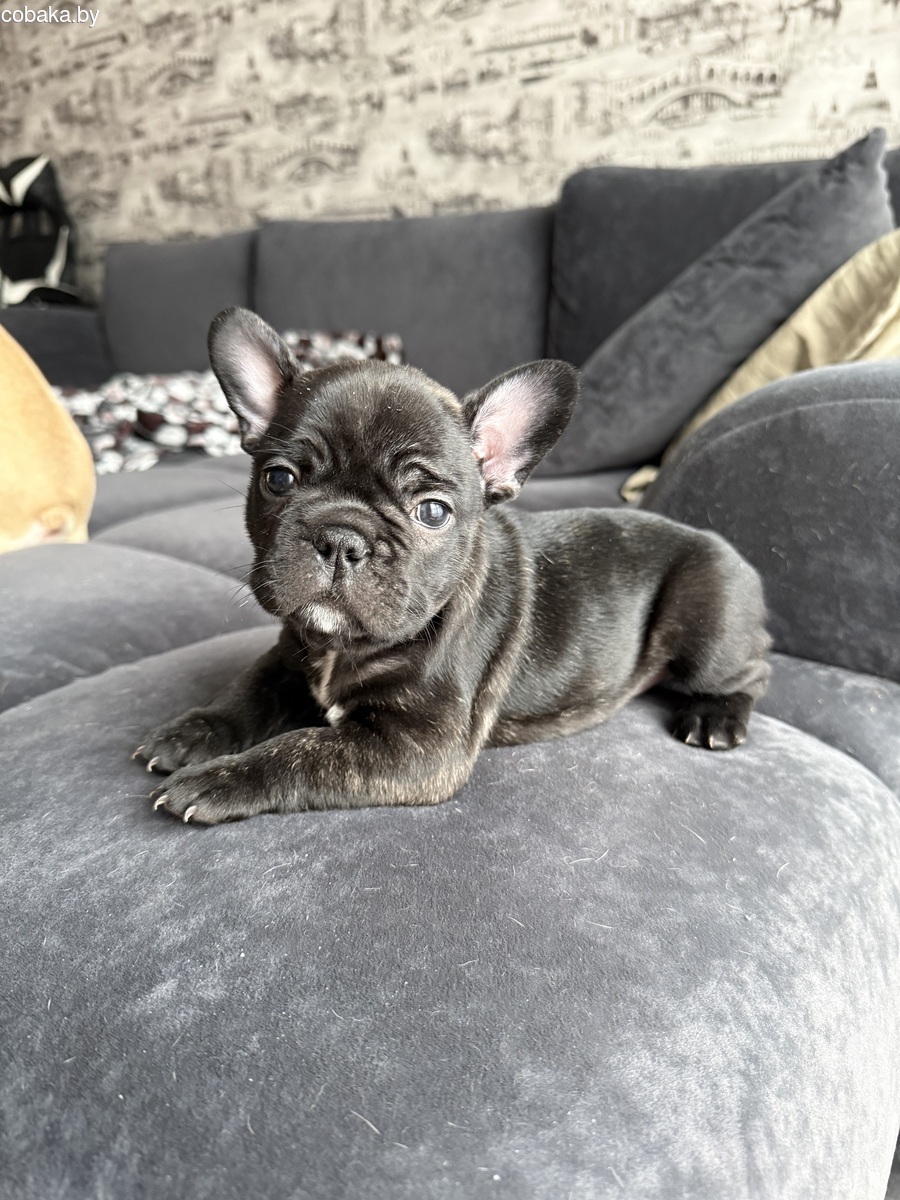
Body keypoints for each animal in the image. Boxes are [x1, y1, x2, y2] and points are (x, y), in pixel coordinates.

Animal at [136, 307, 771, 824]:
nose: (342, 537)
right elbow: (244, 692)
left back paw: (715, 719)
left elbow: (303, 750)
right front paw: (189, 733)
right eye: (278, 479)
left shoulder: (419, 747)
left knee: (752, 672)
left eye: (432, 512)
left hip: (706, 620)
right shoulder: (287, 660)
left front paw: (218, 779)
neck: (344, 646)